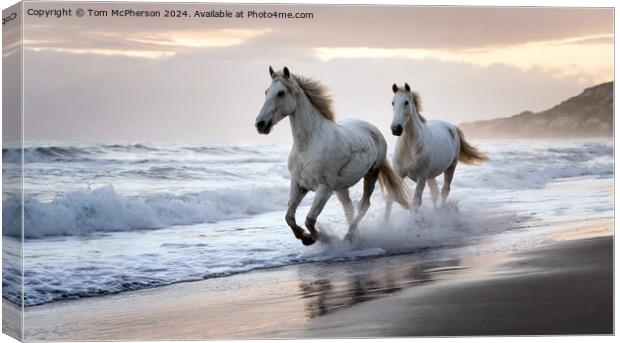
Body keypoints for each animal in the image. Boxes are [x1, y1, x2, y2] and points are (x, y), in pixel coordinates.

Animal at [254, 66, 410, 245]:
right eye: (266, 92)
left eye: (280, 93)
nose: (260, 124)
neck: (307, 146)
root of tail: (373, 129)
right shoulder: (298, 185)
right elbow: (289, 217)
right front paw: (305, 238)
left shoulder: (324, 189)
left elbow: (309, 220)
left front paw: (322, 238)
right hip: (341, 187)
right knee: (349, 208)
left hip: (371, 174)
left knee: (364, 205)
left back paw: (349, 236)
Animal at [386, 82, 486, 219]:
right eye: (392, 102)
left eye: (406, 102)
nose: (396, 128)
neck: (410, 147)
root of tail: (452, 127)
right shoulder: (399, 174)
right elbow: (390, 199)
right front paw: (385, 222)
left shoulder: (421, 177)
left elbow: (416, 201)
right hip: (430, 176)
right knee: (435, 193)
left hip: (450, 168)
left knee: (444, 191)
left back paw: (441, 212)